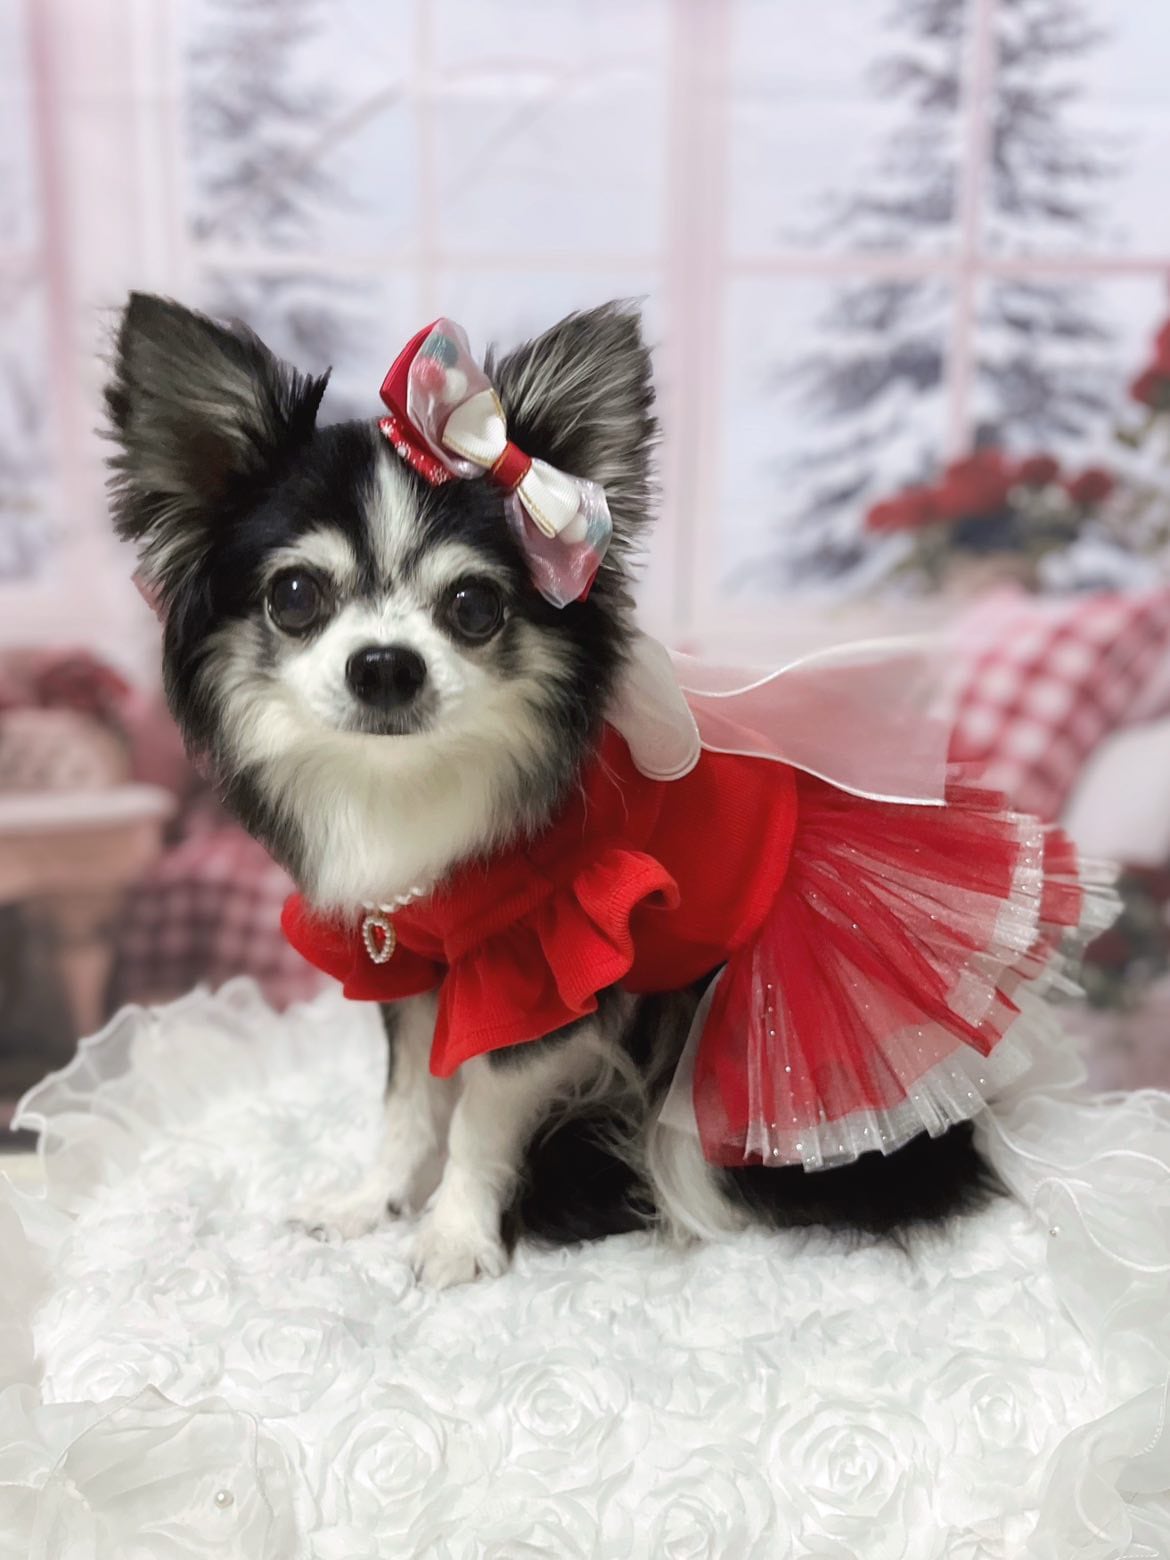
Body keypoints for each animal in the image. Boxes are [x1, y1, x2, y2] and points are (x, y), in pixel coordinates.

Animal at [105, 293, 995, 1287]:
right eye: (294, 595)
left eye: (474, 608)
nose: (385, 664)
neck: (414, 781)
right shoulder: (413, 961)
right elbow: (408, 1101)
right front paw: (373, 1202)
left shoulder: (541, 977)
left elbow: (478, 1117)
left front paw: (453, 1234)